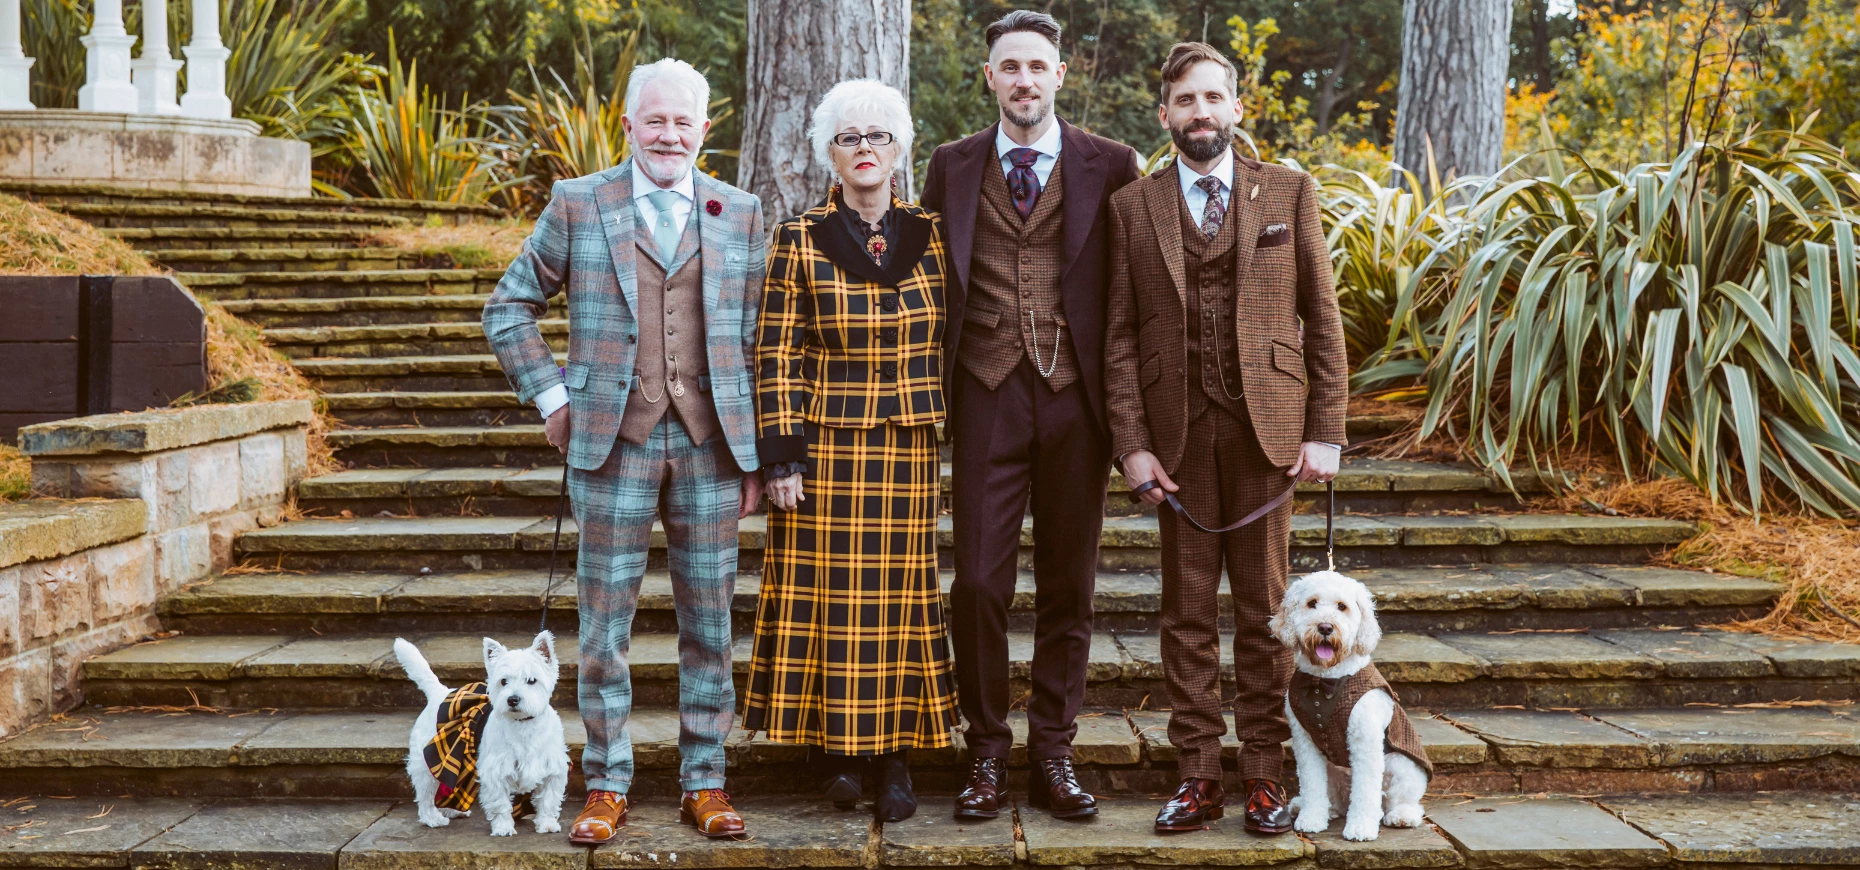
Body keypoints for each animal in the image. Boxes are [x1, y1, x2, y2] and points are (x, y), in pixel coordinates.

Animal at [392, 632, 565, 836]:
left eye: (531, 680)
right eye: (503, 681)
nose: (512, 699)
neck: (523, 724)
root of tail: (439, 693)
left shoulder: (553, 769)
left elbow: (549, 800)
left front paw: (547, 824)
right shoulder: (496, 769)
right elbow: (500, 803)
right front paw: (503, 828)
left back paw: (453, 811)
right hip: (426, 758)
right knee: (426, 791)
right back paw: (433, 818)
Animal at [1272, 572, 1428, 843]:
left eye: (1342, 607)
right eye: (1312, 603)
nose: (1325, 627)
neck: (1324, 681)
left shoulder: (1365, 740)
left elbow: (1365, 790)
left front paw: (1361, 827)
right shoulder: (1305, 741)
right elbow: (1312, 784)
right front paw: (1311, 818)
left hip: (1400, 766)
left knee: (1403, 802)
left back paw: (1401, 816)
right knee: (1334, 798)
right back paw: (1314, 807)